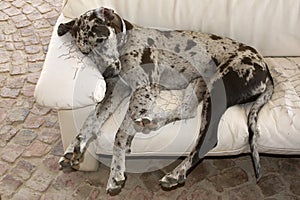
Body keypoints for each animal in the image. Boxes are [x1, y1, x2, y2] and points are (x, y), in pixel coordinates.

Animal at [56, 7, 274, 194]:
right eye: (86, 52)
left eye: (101, 39)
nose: (107, 72)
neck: (127, 41)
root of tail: (266, 70)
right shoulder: (117, 91)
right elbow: (92, 119)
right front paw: (75, 147)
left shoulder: (143, 90)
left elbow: (119, 133)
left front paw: (116, 171)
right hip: (198, 85)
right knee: (186, 111)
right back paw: (149, 121)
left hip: (216, 87)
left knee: (207, 139)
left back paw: (176, 173)